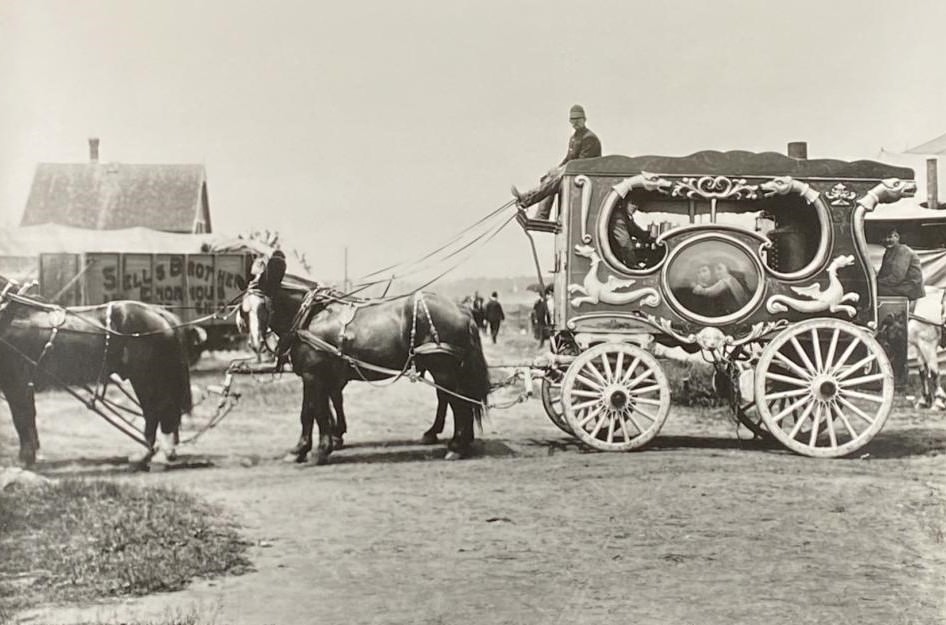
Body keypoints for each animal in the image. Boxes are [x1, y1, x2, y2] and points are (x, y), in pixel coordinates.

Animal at [0, 278, 194, 468]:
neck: (10, 315)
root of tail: (161, 314)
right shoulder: (23, 385)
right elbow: (28, 418)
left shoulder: (16, 384)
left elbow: (21, 419)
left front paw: (25, 459)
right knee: (163, 412)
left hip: (145, 377)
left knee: (156, 411)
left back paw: (148, 455)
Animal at [236, 254, 490, 464]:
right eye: (243, 310)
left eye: (265, 307)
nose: (256, 343)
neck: (310, 317)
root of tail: (462, 309)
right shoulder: (321, 377)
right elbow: (315, 411)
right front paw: (307, 448)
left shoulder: (313, 375)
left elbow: (313, 412)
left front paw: (318, 450)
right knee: (456, 399)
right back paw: (455, 440)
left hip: (442, 367)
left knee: (457, 401)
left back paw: (456, 446)